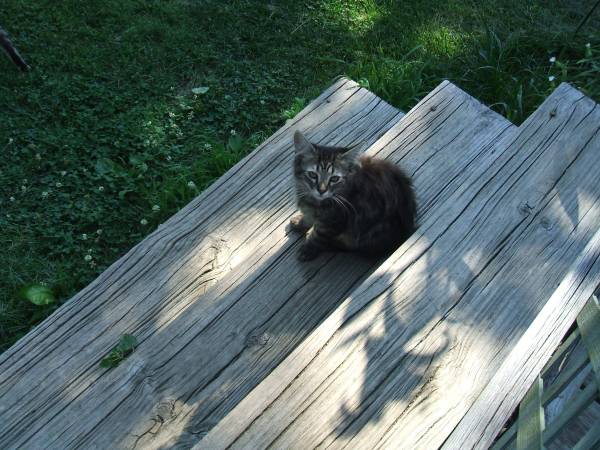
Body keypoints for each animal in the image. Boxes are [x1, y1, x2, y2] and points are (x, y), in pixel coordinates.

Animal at [290, 130, 418, 262]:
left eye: (334, 179)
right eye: (313, 175)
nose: (321, 190)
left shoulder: (335, 221)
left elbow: (318, 236)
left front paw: (308, 248)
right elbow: (308, 217)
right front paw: (300, 221)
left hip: (370, 233)